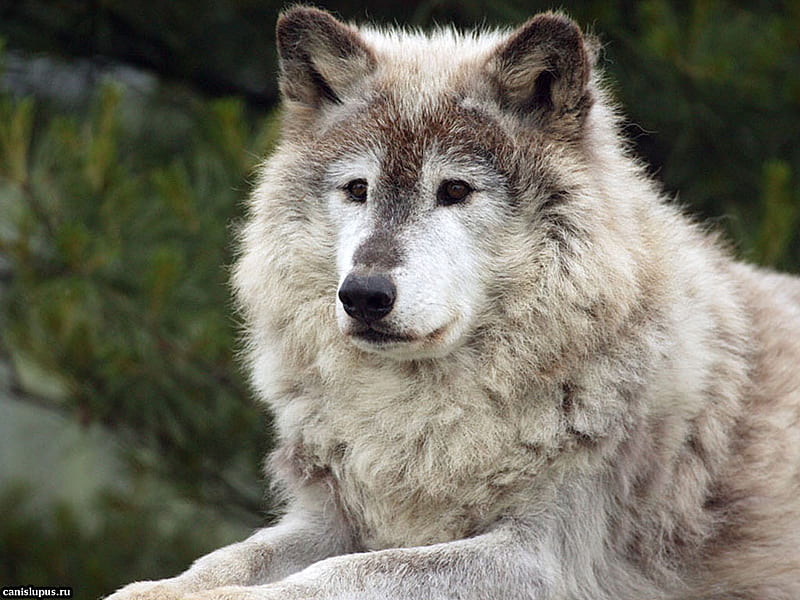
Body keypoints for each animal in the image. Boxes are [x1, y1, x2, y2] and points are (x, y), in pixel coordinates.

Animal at [109, 5, 800, 600]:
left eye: (455, 190)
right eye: (357, 189)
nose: (363, 295)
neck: (422, 420)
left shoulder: (540, 556)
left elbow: (344, 574)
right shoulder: (327, 517)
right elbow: (230, 558)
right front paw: (150, 590)